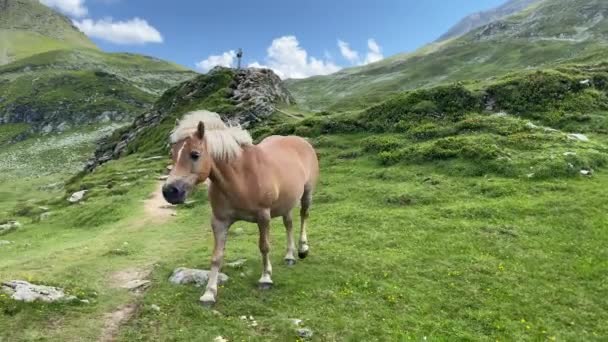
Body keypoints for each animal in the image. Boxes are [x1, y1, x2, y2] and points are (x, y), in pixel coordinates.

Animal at [162, 110, 324, 308]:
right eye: (173, 153)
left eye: (194, 154)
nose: (170, 192)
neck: (241, 177)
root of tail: (301, 141)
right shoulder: (220, 221)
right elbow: (216, 257)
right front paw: (209, 293)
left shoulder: (263, 216)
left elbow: (264, 246)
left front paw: (265, 278)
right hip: (286, 203)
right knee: (289, 224)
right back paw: (289, 256)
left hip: (307, 193)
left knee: (303, 216)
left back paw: (302, 249)